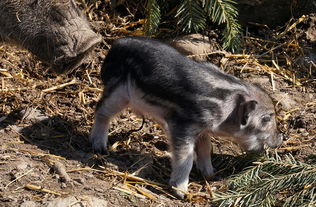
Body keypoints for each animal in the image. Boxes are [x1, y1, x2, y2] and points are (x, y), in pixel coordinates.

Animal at [89, 36, 284, 198]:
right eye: (267, 119)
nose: (281, 137)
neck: (225, 107)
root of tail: (117, 44)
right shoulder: (183, 125)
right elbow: (186, 158)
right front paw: (181, 194)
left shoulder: (202, 130)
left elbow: (205, 148)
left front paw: (211, 174)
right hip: (118, 92)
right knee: (100, 111)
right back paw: (99, 147)